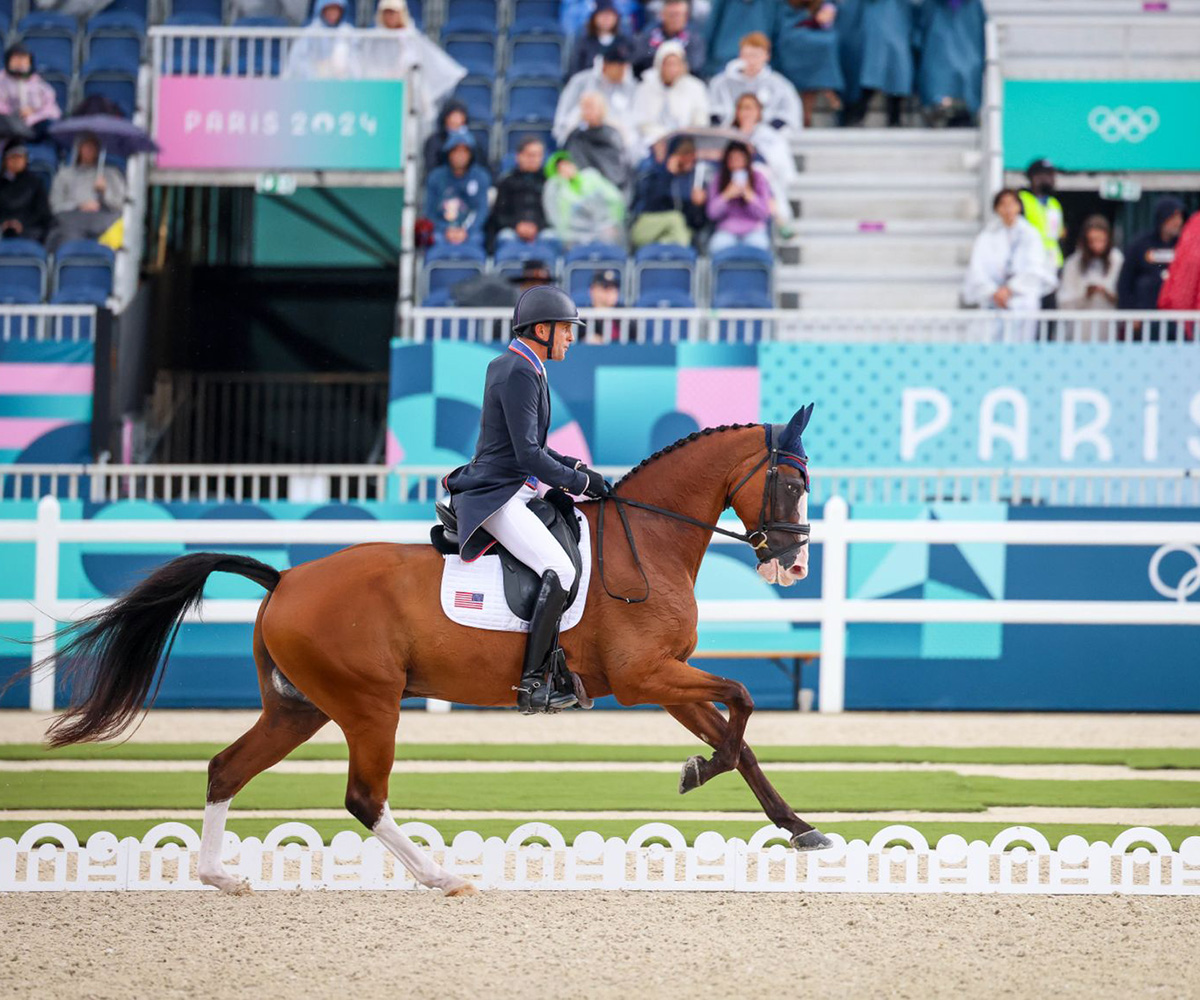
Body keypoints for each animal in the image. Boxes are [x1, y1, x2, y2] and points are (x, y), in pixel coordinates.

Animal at [32, 400, 830, 893]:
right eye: (789, 482)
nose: (793, 565)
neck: (650, 541)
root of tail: (286, 577)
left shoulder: (664, 679)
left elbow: (740, 738)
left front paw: (800, 830)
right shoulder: (646, 678)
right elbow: (742, 704)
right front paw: (699, 773)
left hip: (299, 709)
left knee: (227, 768)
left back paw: (220, 876)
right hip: (368, 703)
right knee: (364, 796)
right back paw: (441, 876)